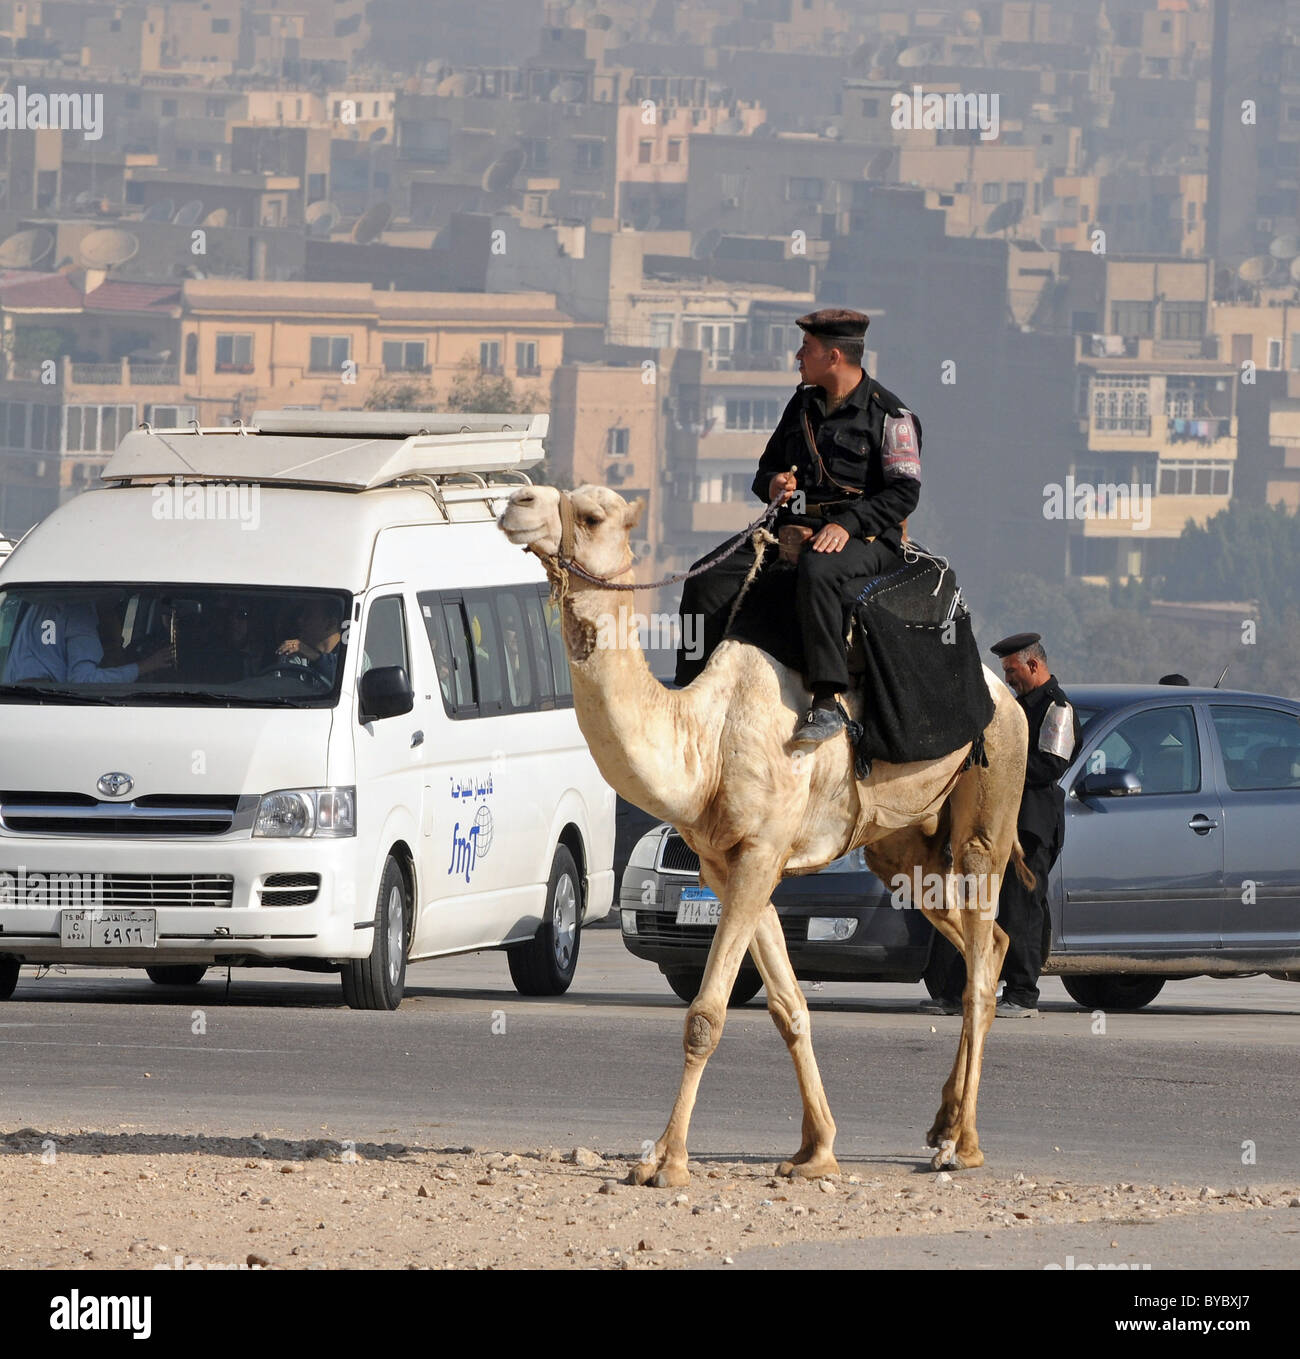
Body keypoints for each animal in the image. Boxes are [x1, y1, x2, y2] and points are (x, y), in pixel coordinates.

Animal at [491, 483, 1032, 1185]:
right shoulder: (731, 865)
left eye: (591, 515)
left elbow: (705, 1015)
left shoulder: (760, 854)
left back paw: (961, 1144)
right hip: (905, 848)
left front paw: (666, 1162)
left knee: (977, 963)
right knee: (985, 945)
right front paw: (815, 1152)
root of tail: (1006, 695)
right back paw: (942, 1122)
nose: (518, 500)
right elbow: (788, 1006)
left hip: (990, 802)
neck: (706, 736)